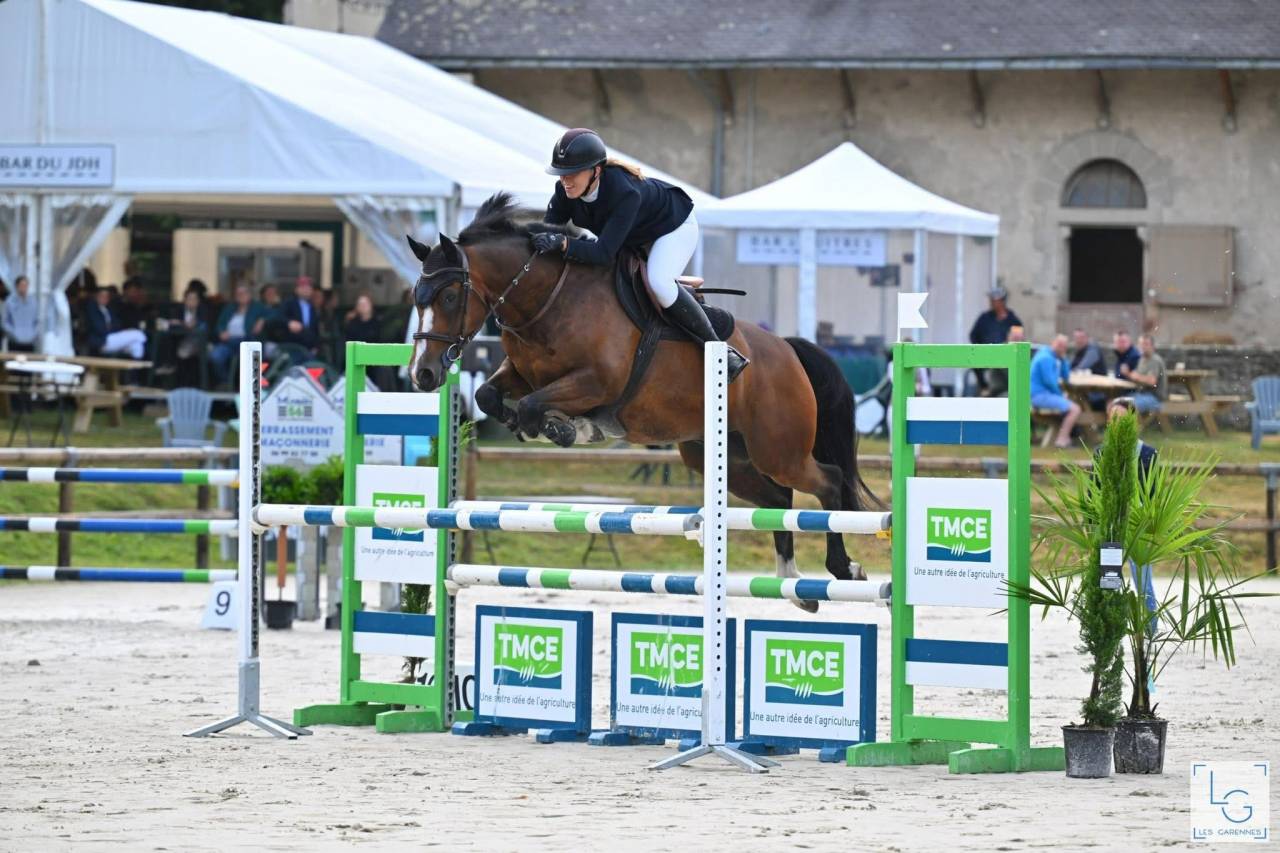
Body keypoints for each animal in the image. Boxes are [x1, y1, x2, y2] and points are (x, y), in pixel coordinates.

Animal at [408, 193, 879, 603]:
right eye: (417, 298)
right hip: (722, 455)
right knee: (779, 501)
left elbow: (532, 406)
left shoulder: (597, 383)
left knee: (828, 481)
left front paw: (567, 428)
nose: (422, 373)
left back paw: (843, 568)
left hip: (778, 450)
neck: (548, 299)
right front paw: (551, 425)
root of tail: (787, 350)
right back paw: (793, 583)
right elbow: (490, 394)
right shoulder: (524, 375)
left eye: (449, 296)